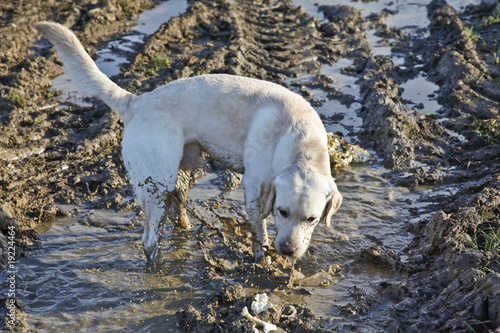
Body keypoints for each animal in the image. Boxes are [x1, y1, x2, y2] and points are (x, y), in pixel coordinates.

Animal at [33, 22, 342, 264]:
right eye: (282, 211)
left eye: (312, 219)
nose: (288, 250)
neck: (300, 145)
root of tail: (136, 102)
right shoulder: (254, 188)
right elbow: (260, 233)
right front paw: (262, 262)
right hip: (157, 182)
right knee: (149, 239)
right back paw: (158, 266)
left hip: (182, 169)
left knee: (177, 206)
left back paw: (185, 229)